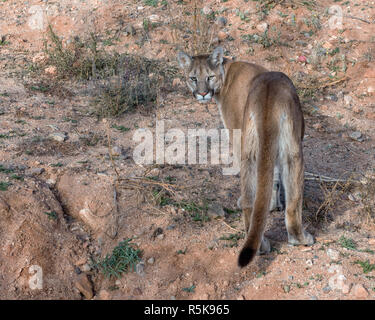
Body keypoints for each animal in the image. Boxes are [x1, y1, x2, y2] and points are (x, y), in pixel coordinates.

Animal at [178, 47, 314, 268]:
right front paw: (273, 205)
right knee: (286, 198)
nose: (203, 93)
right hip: (282, 148)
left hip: (257, 148)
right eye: (192, 78)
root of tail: (268, 93)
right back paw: (283, 240)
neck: (225, 73)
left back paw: (276, 242)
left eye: (209, 77)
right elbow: (273, 179)